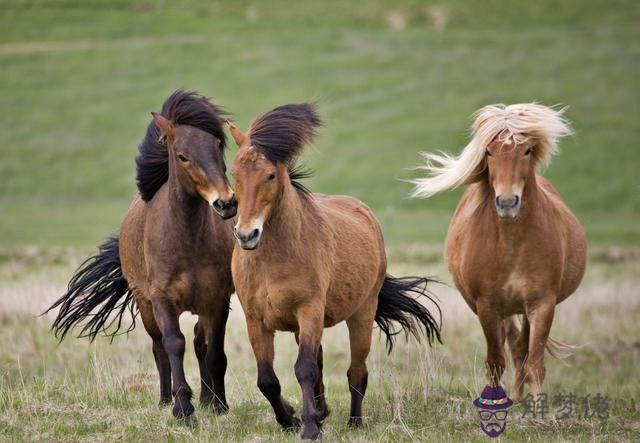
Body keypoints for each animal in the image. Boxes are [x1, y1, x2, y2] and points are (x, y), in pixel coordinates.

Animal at [44, 91, 238, 420]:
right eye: (183, 156)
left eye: (217, 147)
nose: (225, 203)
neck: (188, 242)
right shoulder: (161, 300)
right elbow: (174, 344)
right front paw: (182, 408)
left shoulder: (217, 300)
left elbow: (215, 352)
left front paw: (218, 405)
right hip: (145, 305)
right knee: (159, 347)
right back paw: (165, 400)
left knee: (200, 342)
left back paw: (206, 398)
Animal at [225, 104, 440, 440]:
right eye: (234, 174)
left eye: (270, 175)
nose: (247, 235)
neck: (274, 258)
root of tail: (365, 213)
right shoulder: (256, 320)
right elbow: (267, 379)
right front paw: (291, 419)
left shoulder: (309, 311)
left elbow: (304, 369)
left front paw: (309, 428)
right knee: (320, 364)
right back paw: (321, 410)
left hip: (361, 314)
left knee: (356, 371)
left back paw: (354, 421)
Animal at [412, 105, 588, 402]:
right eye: (489, 152)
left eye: (527, 150)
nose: (507, 202)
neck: (511, 244)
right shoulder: (488, 306)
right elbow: (495, 362)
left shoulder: (542, 304)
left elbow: (535, 363)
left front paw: (537, 410)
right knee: (514, 346)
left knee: (521, 348)